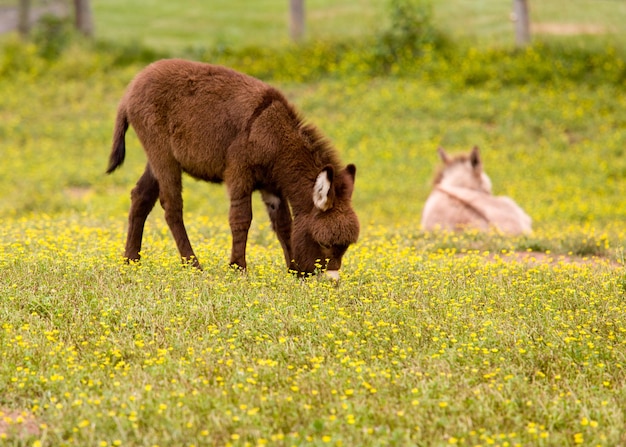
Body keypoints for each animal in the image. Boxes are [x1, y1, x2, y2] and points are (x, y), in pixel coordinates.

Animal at [107, 58, 358, 278]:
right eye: (325, 243)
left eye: (345, 247)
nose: (331, 281)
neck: (271, 133)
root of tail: (133, 85)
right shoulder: (239, 173)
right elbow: (241, 219)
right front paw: (238, 269)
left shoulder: (271, 185)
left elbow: (283, 224)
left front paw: (292, 270)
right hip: (162, 154)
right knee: (172, 207)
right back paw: (193, 266)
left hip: (157, 158)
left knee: (141, 196)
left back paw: (131, 261)